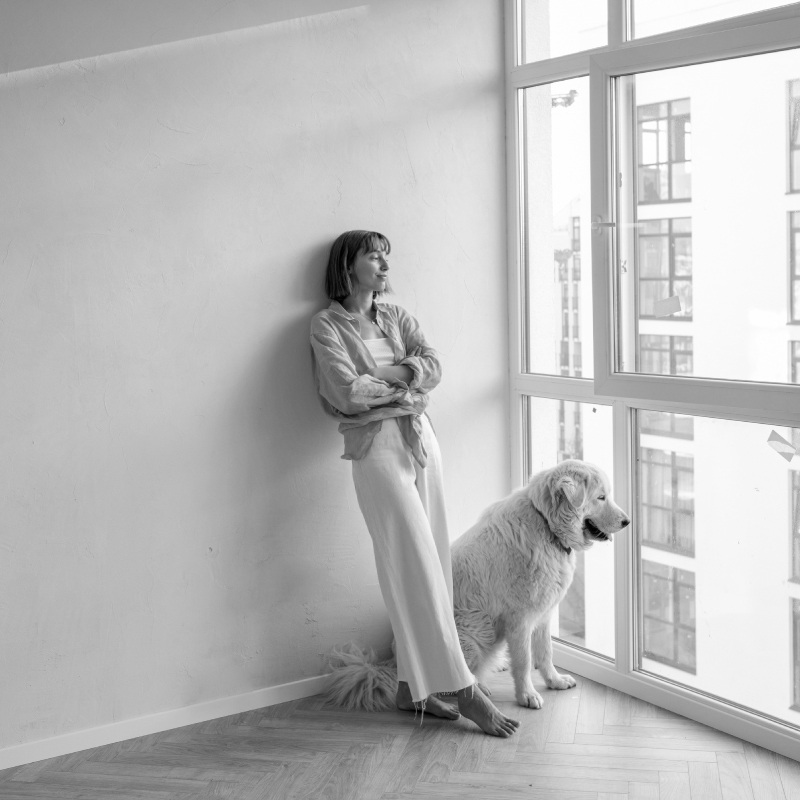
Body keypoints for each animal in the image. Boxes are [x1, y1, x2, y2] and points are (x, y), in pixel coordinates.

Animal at [454, 460, 628, 708]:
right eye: (601, 497)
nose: (627, 521)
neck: (547, 527)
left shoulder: (545, 613)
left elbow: (546, 652)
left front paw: (554, 681)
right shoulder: (520, 619)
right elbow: (524, 661)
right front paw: (527, 695)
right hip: (471, 638)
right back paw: (479, 690)